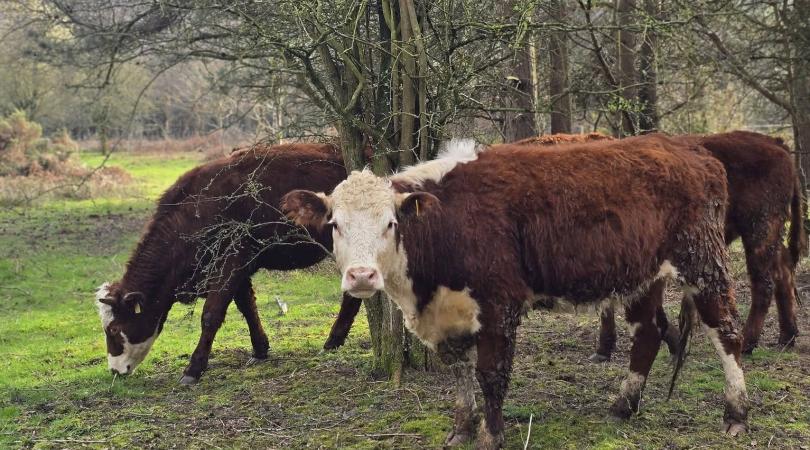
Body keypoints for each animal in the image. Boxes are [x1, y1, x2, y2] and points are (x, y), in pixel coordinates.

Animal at [95, 143, 356, 384]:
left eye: (114, 329)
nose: (114, 370)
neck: (197, 211)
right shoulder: (238, 267)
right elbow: (247, 306)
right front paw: (260, 349)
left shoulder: (231, 260)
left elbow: (211, 314)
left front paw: (194, 369)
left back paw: (332, 340)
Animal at [282, 134, 749, 448]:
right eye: (335, 224)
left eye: (391, 223)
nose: (362, 276)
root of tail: (689, 148)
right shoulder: (449, 315)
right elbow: (459, 370)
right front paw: (461, 429)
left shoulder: (498, 304)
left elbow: (491, 374)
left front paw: (492, 435)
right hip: (643, 276)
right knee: (647, 333)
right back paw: (624, 405)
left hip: (703, 262)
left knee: (726, 332)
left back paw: (737, 414)